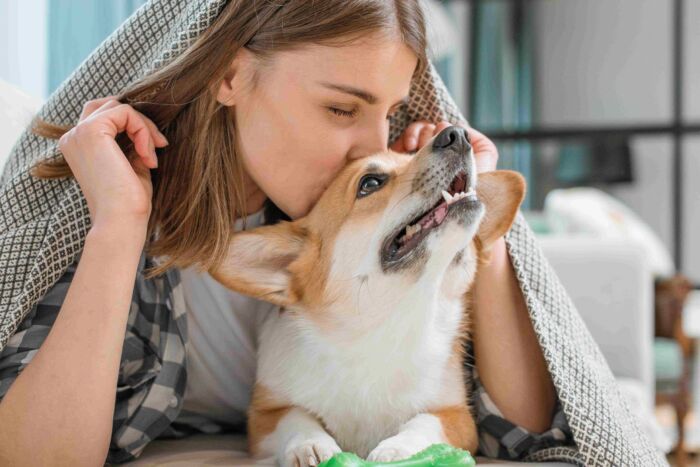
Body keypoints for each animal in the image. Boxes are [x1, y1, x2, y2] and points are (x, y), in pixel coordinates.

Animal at [208, 125, 524, 467]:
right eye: (370, 183)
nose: (457, 134)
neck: (386, 327)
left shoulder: (456, 417)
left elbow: (424, 423)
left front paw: (399, 450)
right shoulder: (265, 416)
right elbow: (297, 418)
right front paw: (311, 445)